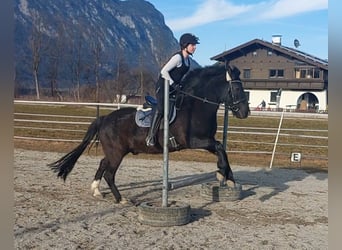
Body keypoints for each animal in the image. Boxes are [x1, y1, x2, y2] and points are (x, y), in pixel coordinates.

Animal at [48, 62, 250, 203]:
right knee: (109, 173)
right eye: (237, 88)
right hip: (117, 152)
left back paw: (96, 190)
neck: (196, 105)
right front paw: (223, 174)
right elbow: (220, 147)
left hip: (114, 151)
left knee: (103, 163)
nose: (245, 112)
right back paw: (121, 199)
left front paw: (228, 177)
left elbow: (221, 149)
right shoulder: (193, 141)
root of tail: (104, 118)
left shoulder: (206, 140)